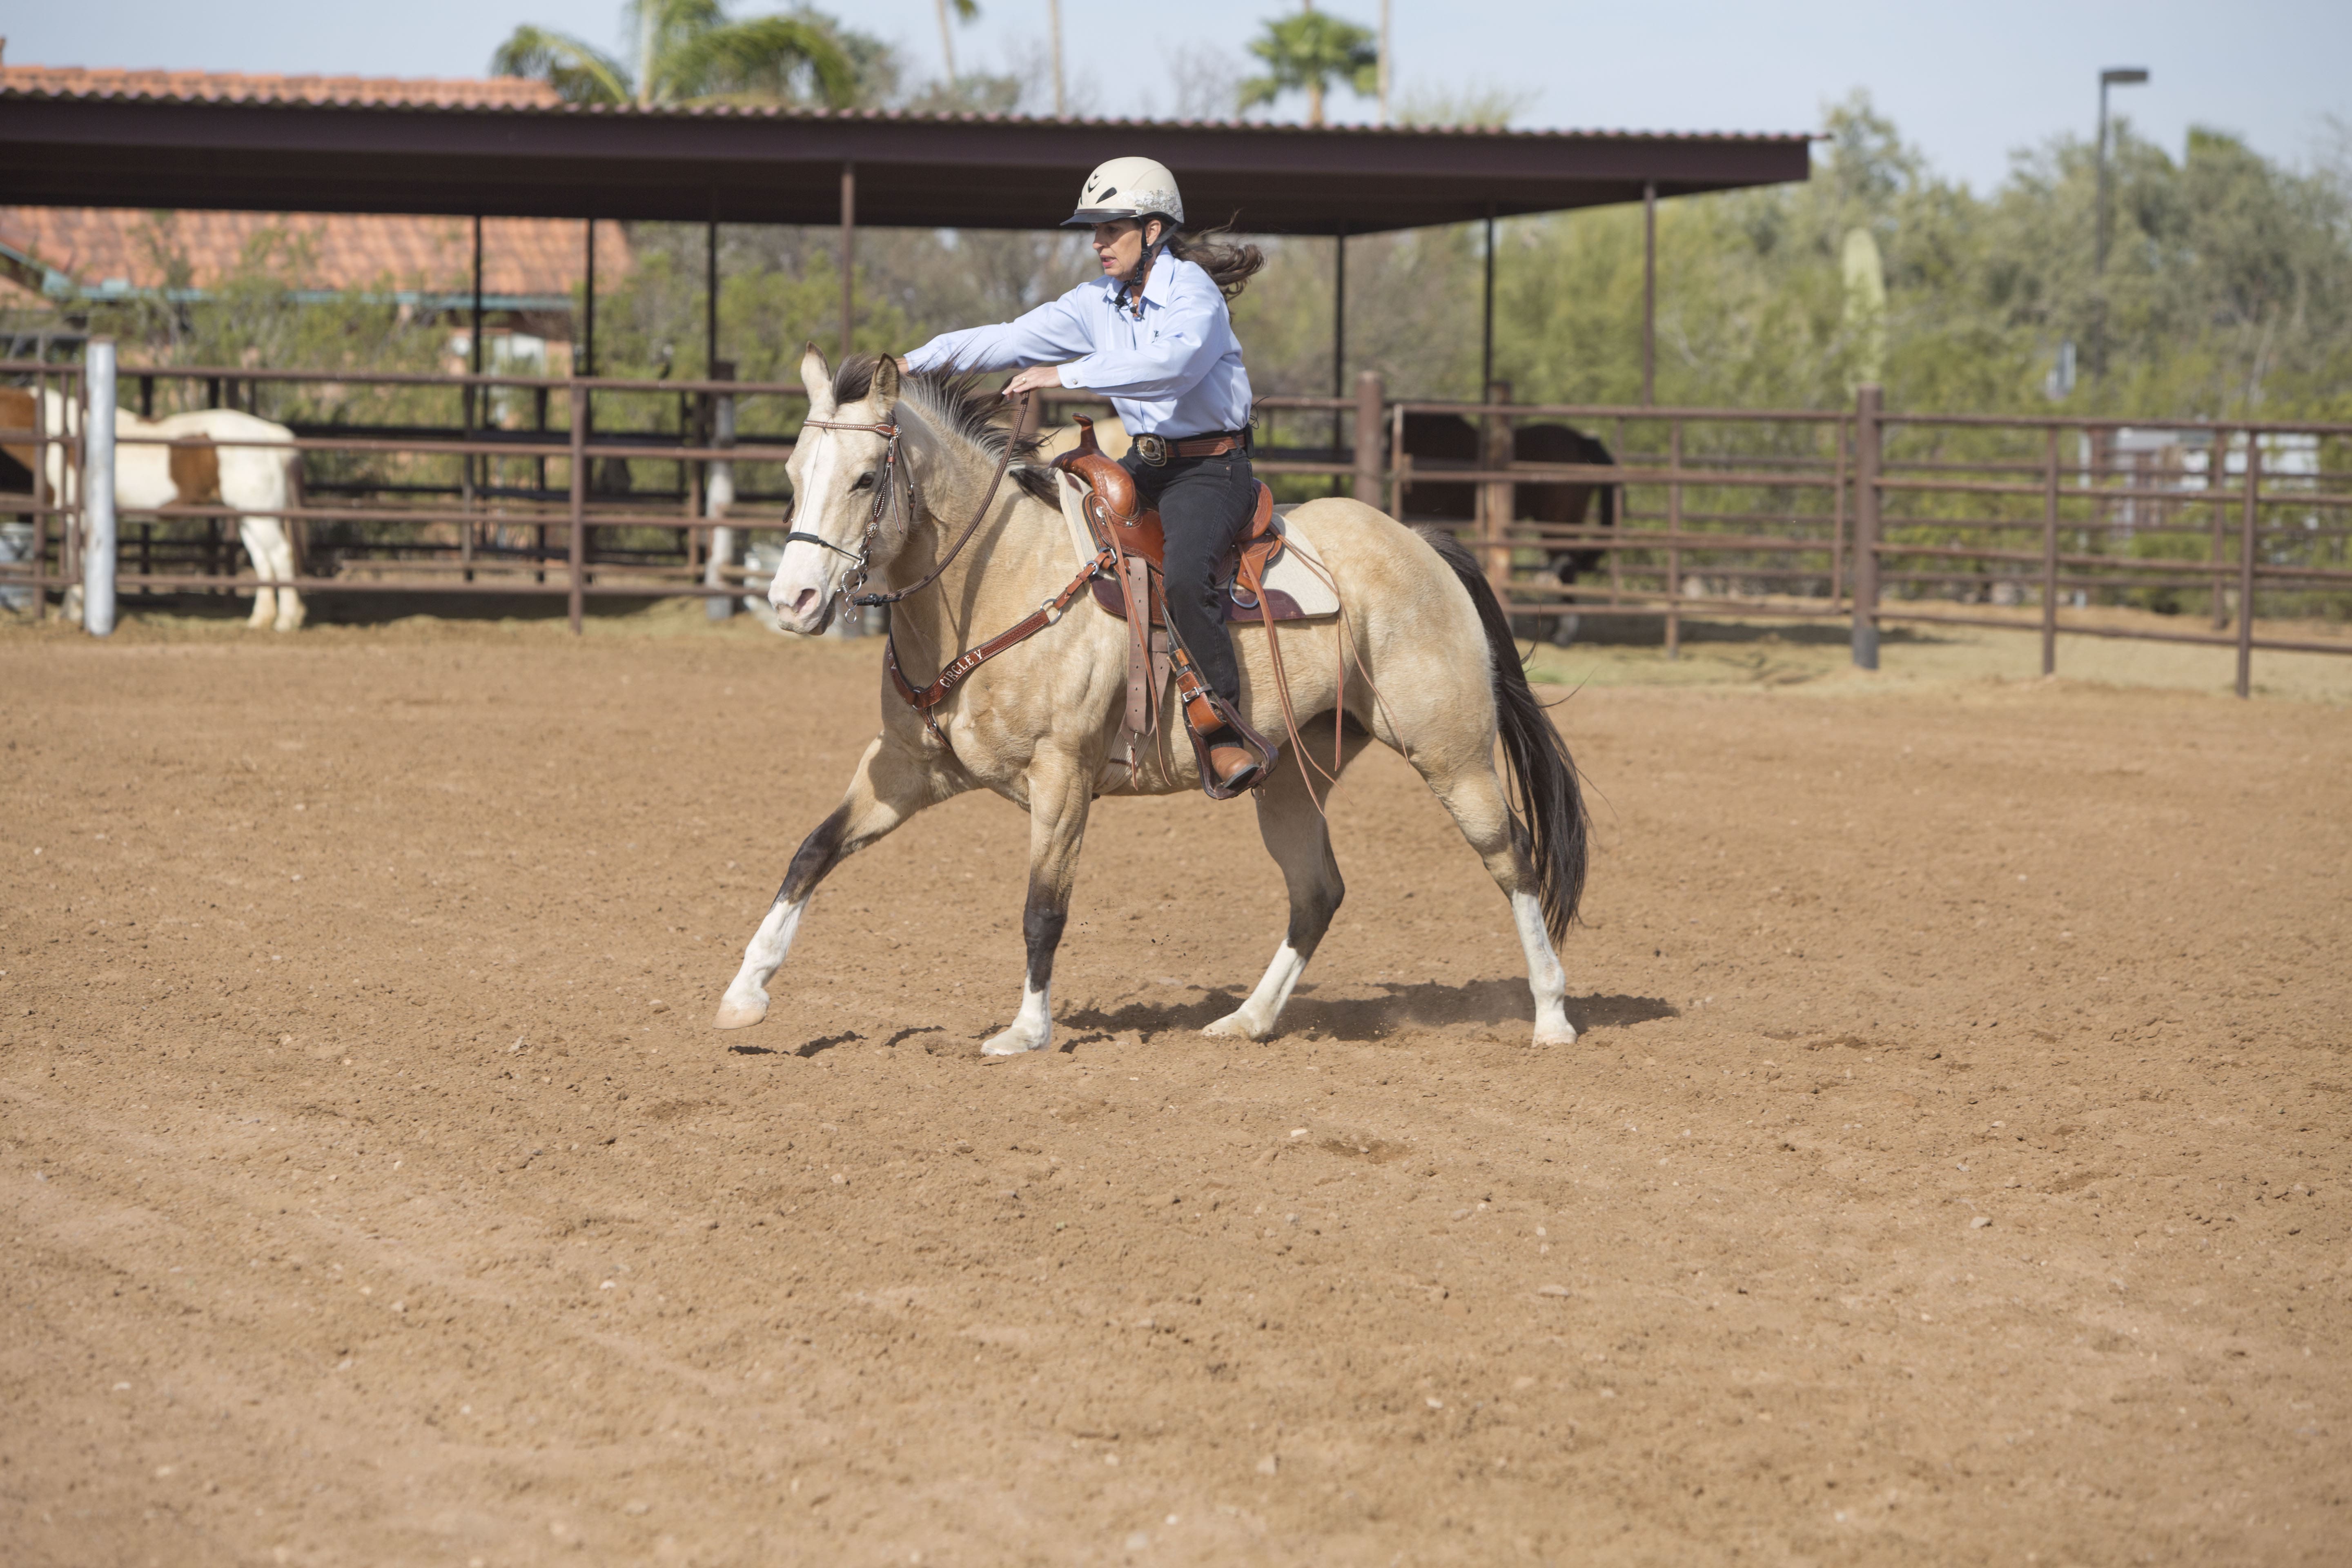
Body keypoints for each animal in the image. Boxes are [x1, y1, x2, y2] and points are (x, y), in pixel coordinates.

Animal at [2, 385, 310, 630]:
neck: (63, 434)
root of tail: (272, 434)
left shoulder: (79, 514)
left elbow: (78, 559)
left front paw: (73, 613)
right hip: (249, 517)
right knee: (263, 561)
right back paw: (260, 620)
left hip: (261, 516)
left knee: (281, 555)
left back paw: (286, 620)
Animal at [715, 350, 1590, 1062]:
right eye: (793, 474)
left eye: (866, 478)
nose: (792, 601)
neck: (1001, 583)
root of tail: (1421, 546)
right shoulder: (905, 768)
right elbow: (812, 853)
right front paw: (744, 993)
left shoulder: (1063, 777)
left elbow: (1043, 909)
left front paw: (1026, 1031)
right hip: (1288, 778)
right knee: (1318, 892)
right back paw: (1246, 1020)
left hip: (1453, 755)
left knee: (1513, 857)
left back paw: (1552, 1016)